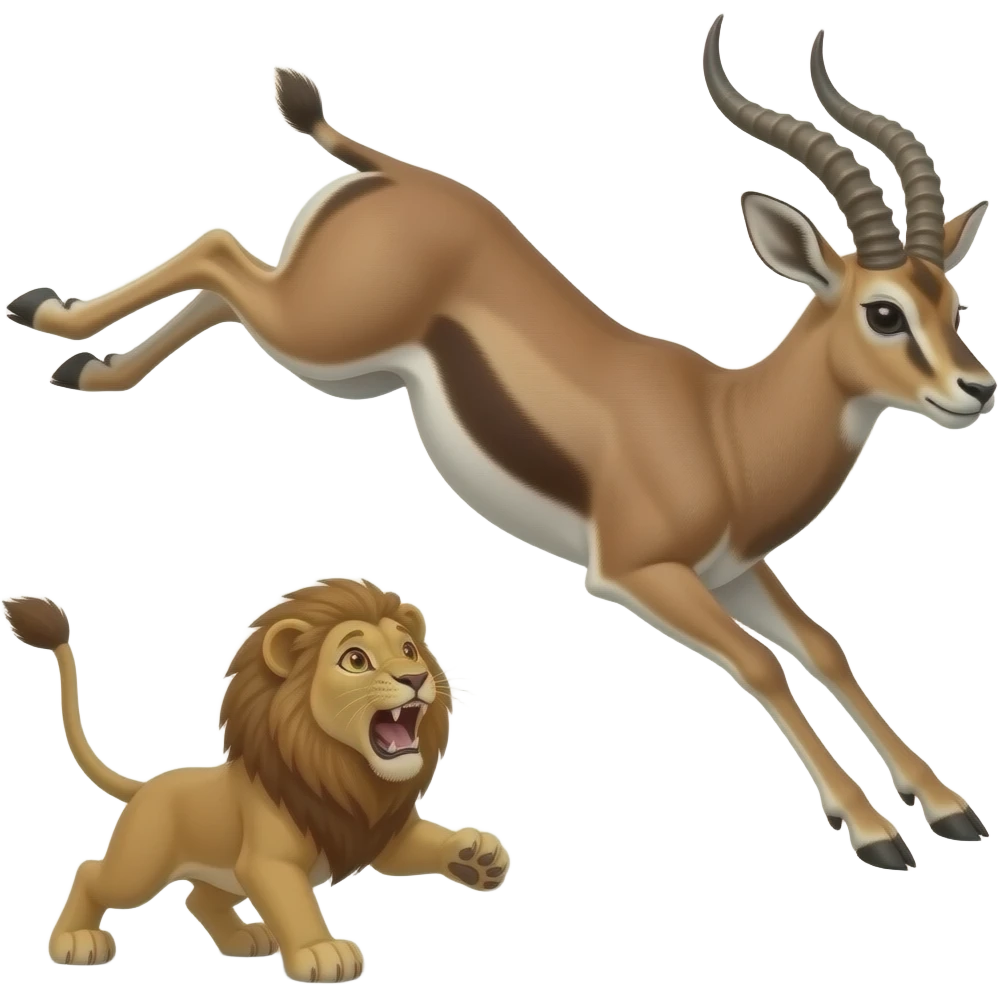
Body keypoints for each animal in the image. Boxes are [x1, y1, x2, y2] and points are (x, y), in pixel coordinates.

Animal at [3, 580, 510, 983]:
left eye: (408, 650)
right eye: (356, 659)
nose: (417, 676)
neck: (342, 771)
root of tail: (148, 785)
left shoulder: (371, 830)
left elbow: (420, 844)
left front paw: (477, 856)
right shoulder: (269, 861)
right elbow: (294, 903)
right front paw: (320, 951)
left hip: (223, 872)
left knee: (199, 900)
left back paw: (243, 940)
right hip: (142, 864)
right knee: (92, 873)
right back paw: (76, 941)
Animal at [6, 19, 993, 870]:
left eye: (953, 301)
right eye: (883, 312)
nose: (975, 390)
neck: (724, 426)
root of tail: (392, 172)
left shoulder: (732, 569)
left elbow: (825, 650)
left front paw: (950, 809)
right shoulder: (643, 574)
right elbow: (763, 666)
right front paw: (875, 831)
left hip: (327, 356)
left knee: (220, 287)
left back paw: (89, 369)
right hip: (321, 335)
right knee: (215, 250)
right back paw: (45, 314)